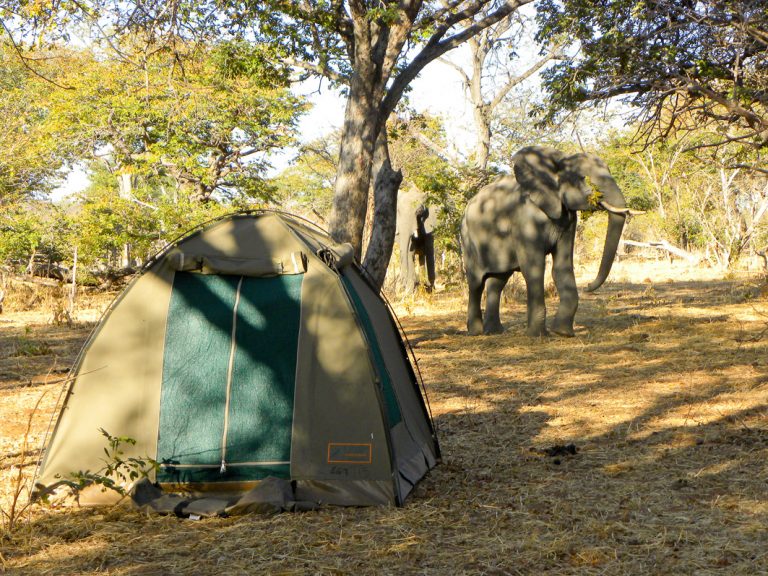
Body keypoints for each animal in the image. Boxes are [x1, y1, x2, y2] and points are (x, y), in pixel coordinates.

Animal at [460, 146, 640, 338]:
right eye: (583, 178)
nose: (588, 286)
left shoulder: (568, 219)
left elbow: (562, 267)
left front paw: (563, 333)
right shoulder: (524, 219)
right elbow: (534, 268)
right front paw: (537, 335)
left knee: (498, 281)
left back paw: (494, 332)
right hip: (468, 238)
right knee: (476, 283)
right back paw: (475, 332)